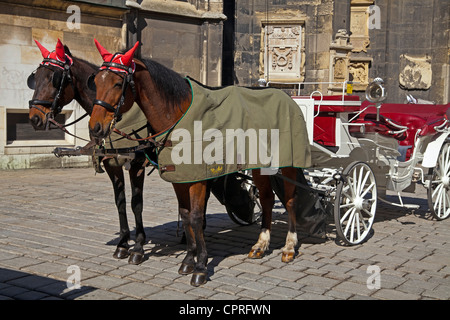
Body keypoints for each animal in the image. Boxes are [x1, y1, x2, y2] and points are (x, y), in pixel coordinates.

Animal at [28, 39, 147, 264]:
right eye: (35, 78)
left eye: (54, 78)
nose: (34, 118)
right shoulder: (110, 163)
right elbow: (120, 201)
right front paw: (122, 243)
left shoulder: (137, 164)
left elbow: (136, 203)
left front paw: (138, 246)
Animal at [89, 40, 302, 288]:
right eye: (96, 81)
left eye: (117, 82)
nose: (95, 127)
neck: (177, 117)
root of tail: (285, 95)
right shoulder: (179, 178)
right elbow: (185, 214)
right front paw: (189, 259)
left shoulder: (198, 180)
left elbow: (196, 217)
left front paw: (200, 265)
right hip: (259, 165)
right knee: (267, 199)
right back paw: (261, 244)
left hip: (289, 163)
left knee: (290, 200)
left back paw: (289, 247)